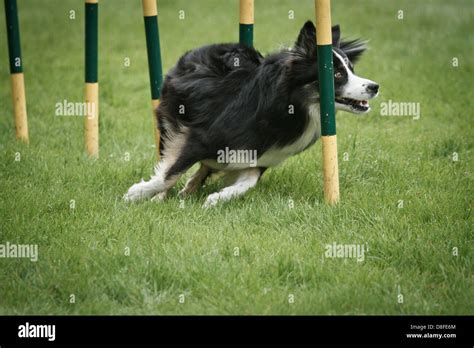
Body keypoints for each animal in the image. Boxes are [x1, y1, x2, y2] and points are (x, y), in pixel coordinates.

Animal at [124, 21, 380, 207]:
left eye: (351, 69)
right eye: (337, 75)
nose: (375, 86)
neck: (290, 106)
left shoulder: (261, 156)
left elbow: (248, 183)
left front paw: (218, 198)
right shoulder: (202, 137)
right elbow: (170, 173)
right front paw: (136, 193)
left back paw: (191, 187)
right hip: (174, 115)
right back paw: (162, 195)